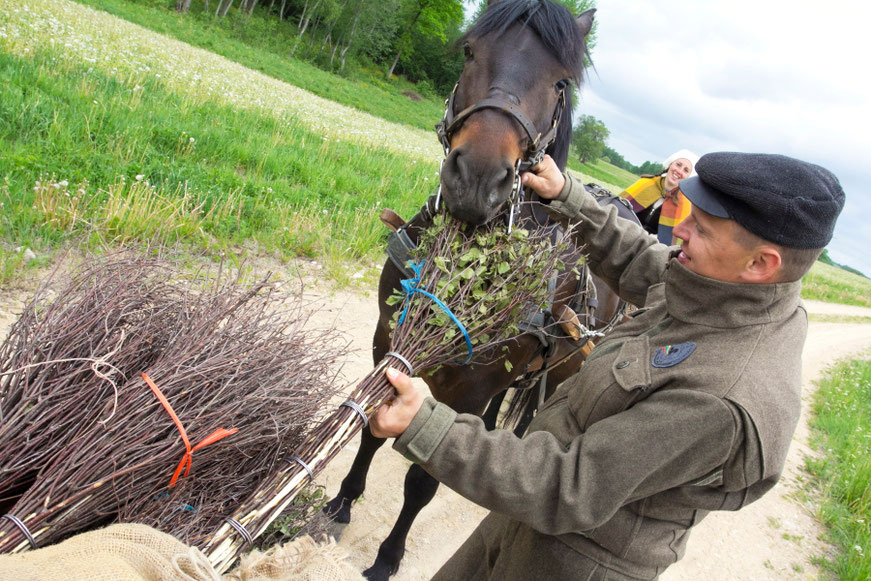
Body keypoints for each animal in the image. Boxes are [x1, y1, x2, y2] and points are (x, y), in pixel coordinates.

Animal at [326, 2, 620, 576]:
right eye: (468, 51)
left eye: (560, 82)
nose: (479, 178)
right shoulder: (385, 342)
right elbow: (372, 426)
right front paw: (343, 499)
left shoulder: (472, 388)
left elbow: (423, 482)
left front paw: (387, 558)